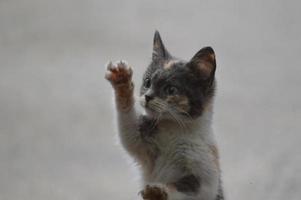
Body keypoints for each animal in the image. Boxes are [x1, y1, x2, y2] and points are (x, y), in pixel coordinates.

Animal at [104, 31, 221, 200]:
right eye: (147, 82)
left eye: (171, 89)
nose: (147, 96)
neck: (173, 128)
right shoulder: (143, 146)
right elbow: (128, 134)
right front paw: (122, 80)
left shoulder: (207, 180)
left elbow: (183, 188)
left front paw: (157, 191)